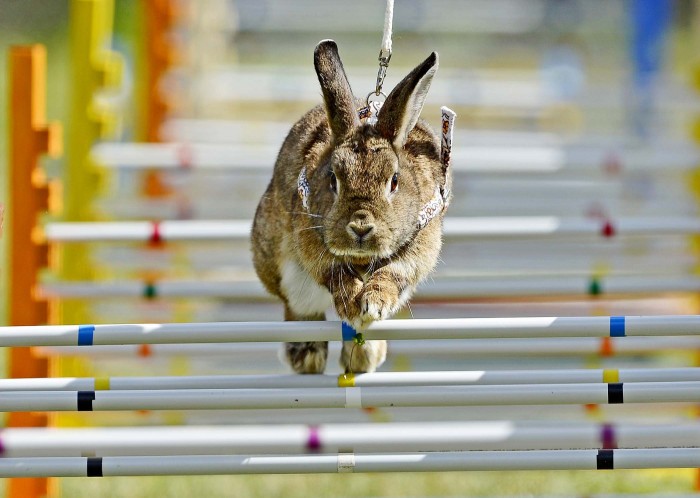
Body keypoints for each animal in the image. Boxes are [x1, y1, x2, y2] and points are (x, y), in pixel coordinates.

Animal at [252, 39, 448, 374]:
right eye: (333, 179)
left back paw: (364, 355)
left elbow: (394, 272)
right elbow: (335, 274)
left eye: (394, 181)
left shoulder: (422, 243)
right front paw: (353, 304)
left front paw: (373, 303)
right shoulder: (309, 234)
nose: (360, 226)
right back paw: (306, 356)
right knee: (300, 310)